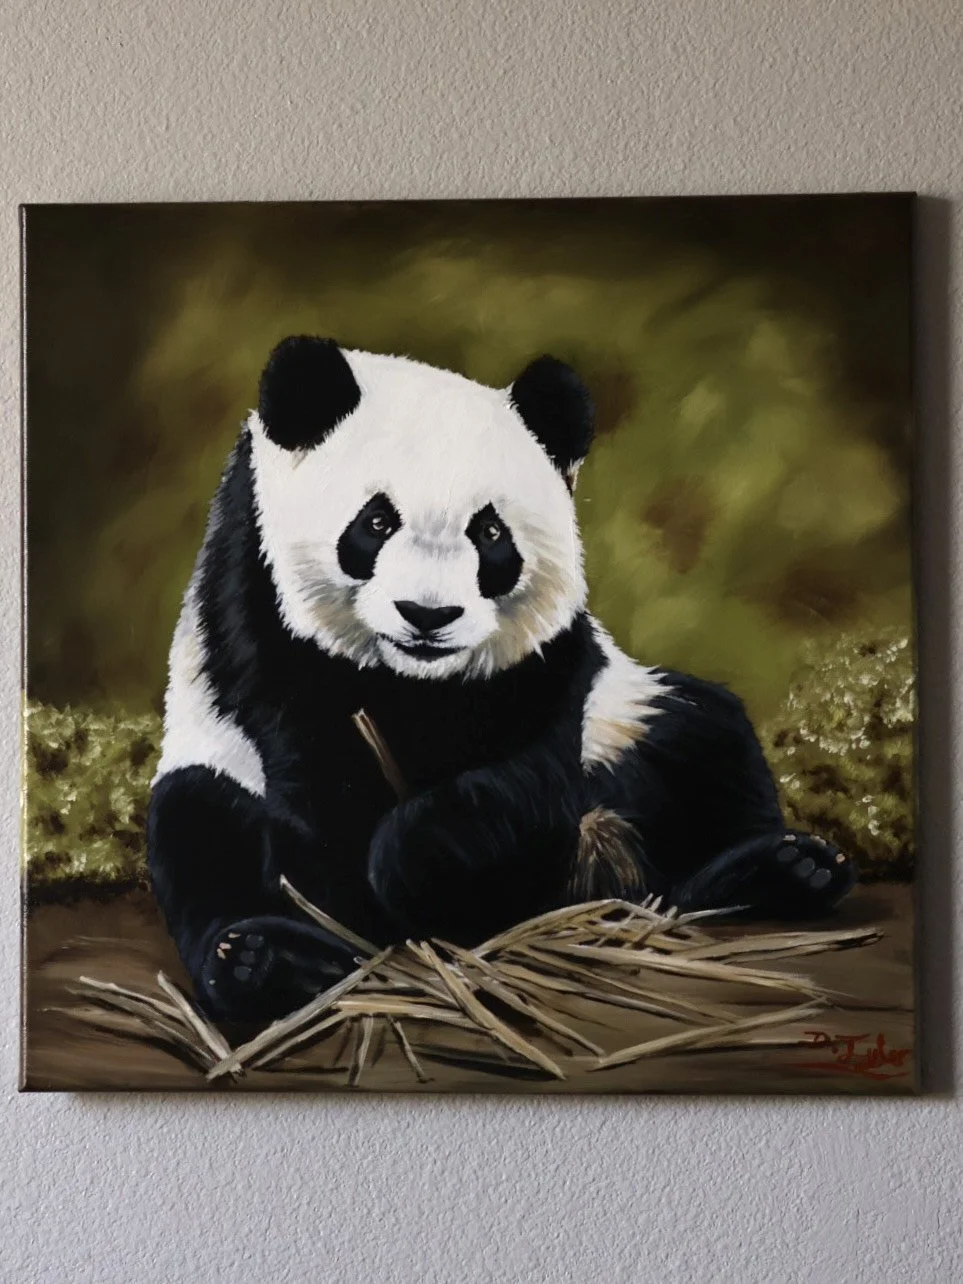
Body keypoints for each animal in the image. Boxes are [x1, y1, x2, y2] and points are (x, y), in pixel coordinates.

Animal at [148, 337, 856, 1021]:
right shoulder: (254, 610)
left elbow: (525, 774)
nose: (428, 615)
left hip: (627, 717)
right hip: (215, 760)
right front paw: (353, 903)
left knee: (702, 741)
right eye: (375, 522)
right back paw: (263, 962)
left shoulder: (546, 666)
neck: (413, 680)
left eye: (489, 532)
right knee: (200, 828)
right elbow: (308, 765)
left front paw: (420, 863)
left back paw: (782, 869)